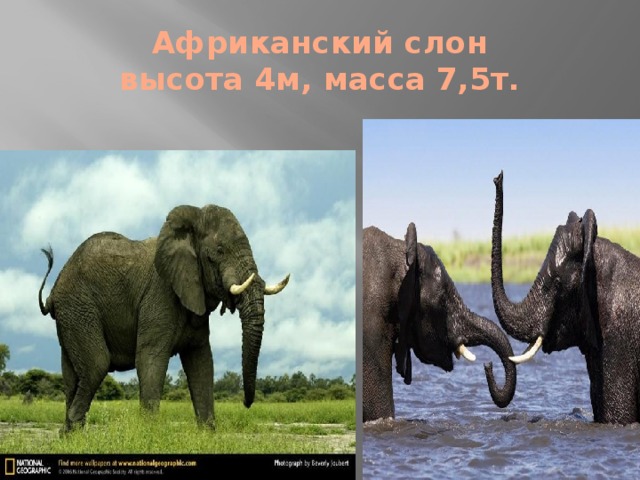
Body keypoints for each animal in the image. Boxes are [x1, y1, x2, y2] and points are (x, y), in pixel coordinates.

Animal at [38, 204, 289, 432]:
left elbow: (202, 362)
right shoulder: (159, 295)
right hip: (78, 306)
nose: (246, 403)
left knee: (72, 375)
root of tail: (55, 287)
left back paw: (72, 438)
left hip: (71, 314)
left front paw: (207, 435)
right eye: (219, 251)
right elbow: (150, 358)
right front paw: (149, 435)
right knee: (96, 365)